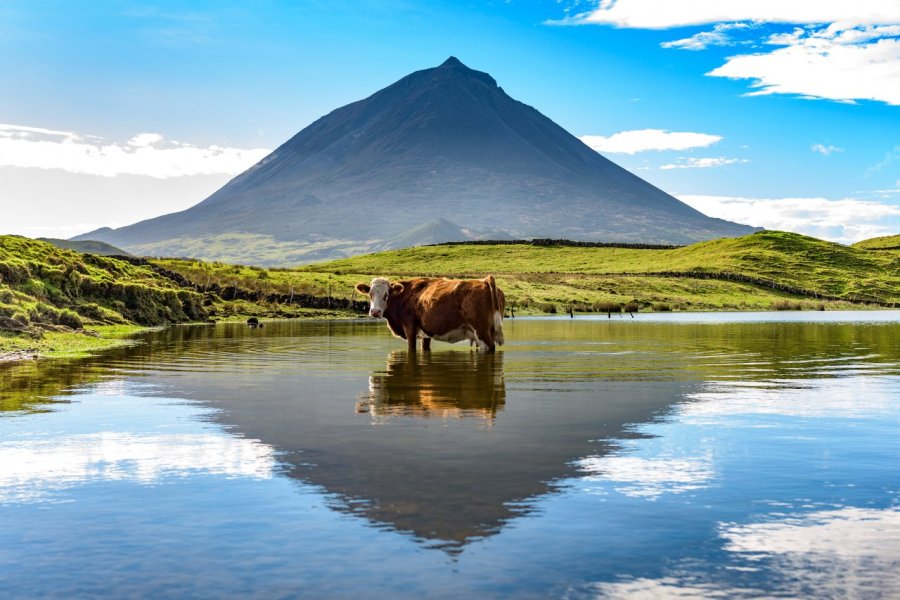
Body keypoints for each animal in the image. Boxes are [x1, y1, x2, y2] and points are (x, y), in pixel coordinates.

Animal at [354, 274, 506, 350]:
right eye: (370, 294)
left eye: (387, 295)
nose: (375, 312)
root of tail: (484, 281)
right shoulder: (425, 334)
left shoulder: (410, 328)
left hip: (481, 331)